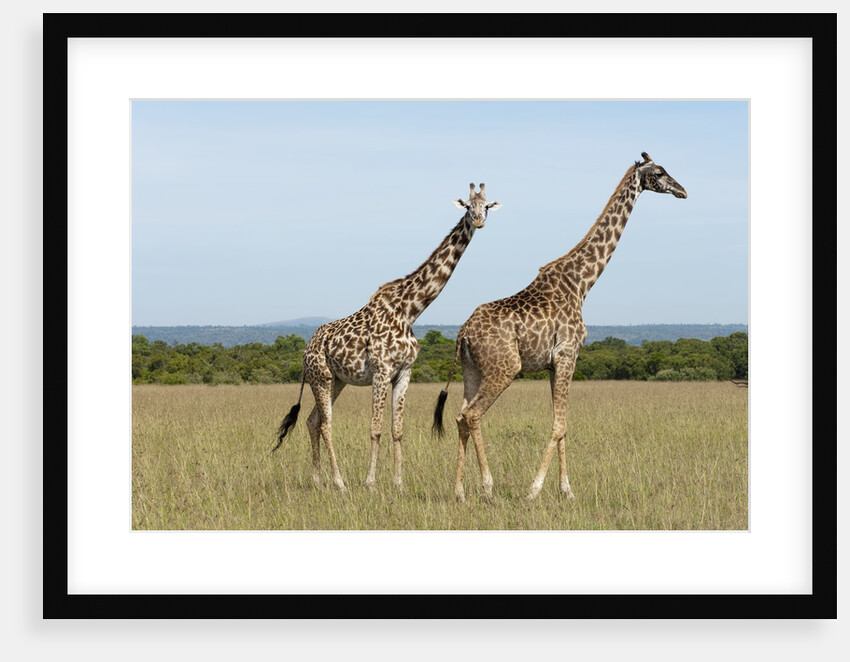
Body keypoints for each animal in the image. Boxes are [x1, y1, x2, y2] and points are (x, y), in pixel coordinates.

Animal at [273, 184, 502, 492]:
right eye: (467, 206)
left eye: (486, 206)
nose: (478, 220)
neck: (409, 311)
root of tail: (307, 349)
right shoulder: (381, 371)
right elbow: (375, 429)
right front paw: (370, 483)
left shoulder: (404, 372)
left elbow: (397, 430)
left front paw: (399, 483)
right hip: (320, 378)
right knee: (325, 424)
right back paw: (339, 482)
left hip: (336, 381)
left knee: (312, 420)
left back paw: (318, 481)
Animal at [433, 153, 687, 502]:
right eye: (659, 173)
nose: (682, 191)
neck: (582, 283)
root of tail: (462, 333)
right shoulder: (568, 355)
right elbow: (559, 426)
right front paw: (534, 490)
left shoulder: (555, 364)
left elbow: (561, 424)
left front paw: (567, 490)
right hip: (505, 367)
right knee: (473, 414)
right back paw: (488, 488)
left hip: (472, 369)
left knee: (460, 416)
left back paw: (459, 492)